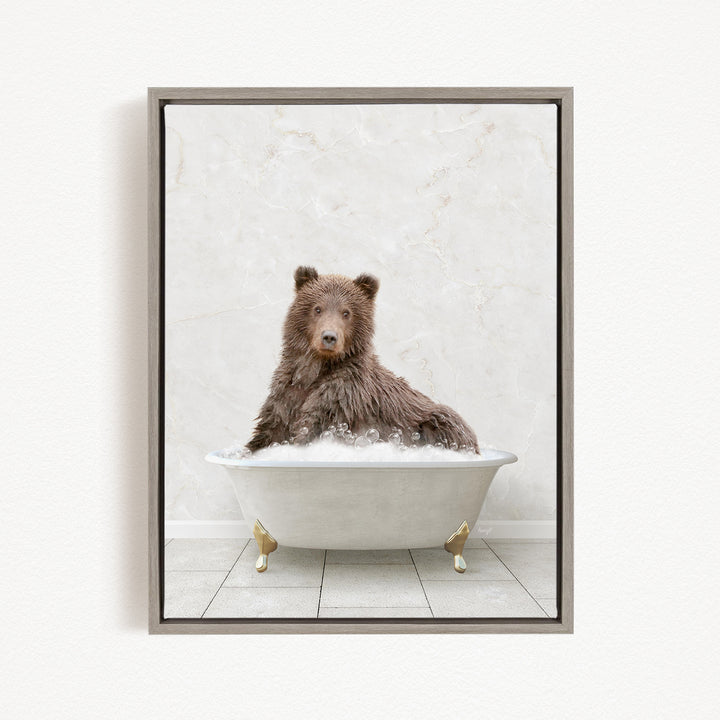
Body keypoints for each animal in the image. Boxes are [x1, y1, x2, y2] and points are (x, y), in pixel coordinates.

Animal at [245, 266, 479, 453]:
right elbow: (269, 431)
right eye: (317, 308)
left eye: (346, 312)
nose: (329, 337)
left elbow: (312, 428)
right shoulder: (287, 393)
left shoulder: (342, 398)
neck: (316, 369)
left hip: (436, 421)